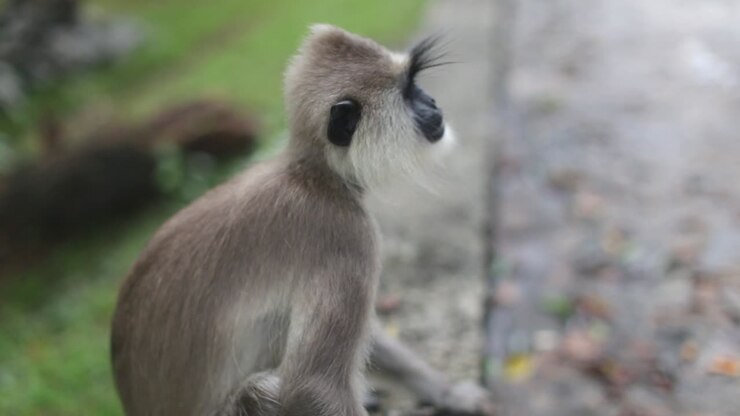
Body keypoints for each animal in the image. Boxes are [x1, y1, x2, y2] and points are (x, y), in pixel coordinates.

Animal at [111, 25, 494, 416]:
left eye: (417, 87)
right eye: (407, 91)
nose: (432, 102)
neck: (317, 176)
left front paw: (449, 392)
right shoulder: (347, 233)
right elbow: (312, 386)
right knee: (261, 389)